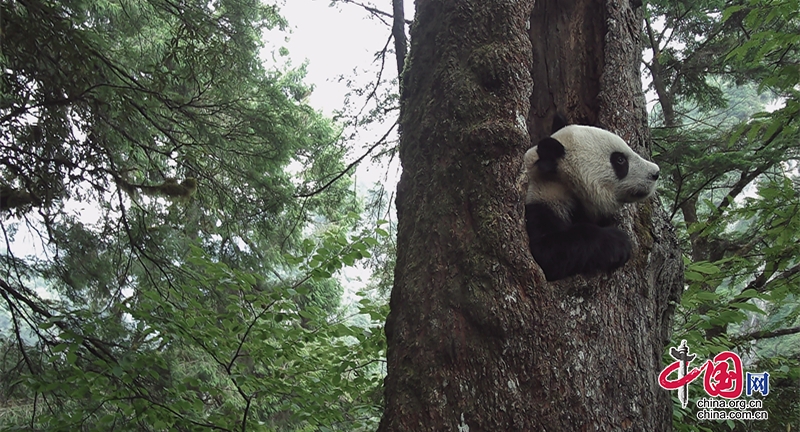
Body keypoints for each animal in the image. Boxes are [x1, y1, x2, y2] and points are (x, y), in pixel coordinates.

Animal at [520, 119, 660, 280]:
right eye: (620, 160)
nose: (656, 173)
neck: (560, 181)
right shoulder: (540, 202)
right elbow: (547, 252)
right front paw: (619, 241)